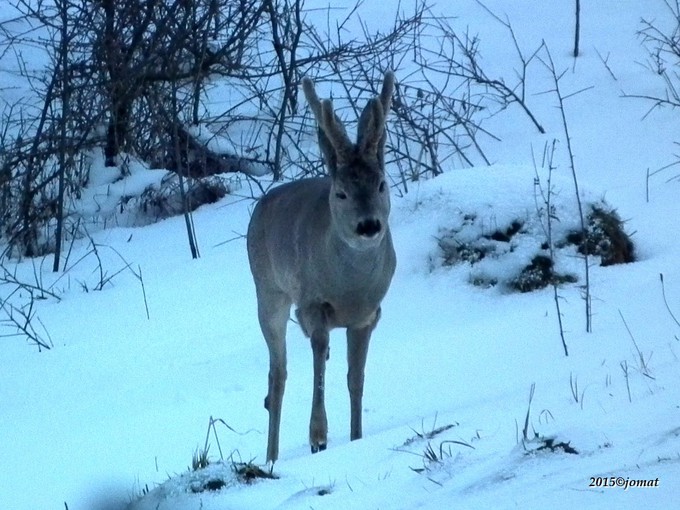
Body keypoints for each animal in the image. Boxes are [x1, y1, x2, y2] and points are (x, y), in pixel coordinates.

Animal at [246, 72, 396, 462]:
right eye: (341, 192)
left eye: (382, 184)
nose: (368, 225)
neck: (350, 288)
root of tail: (261, 204)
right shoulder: (313, 304)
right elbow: (317, 364)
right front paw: (317, 436)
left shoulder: (368, 316)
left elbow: (354, 378)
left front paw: (357, 436)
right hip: (268, 291)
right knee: (277, 375)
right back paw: (271, 457)